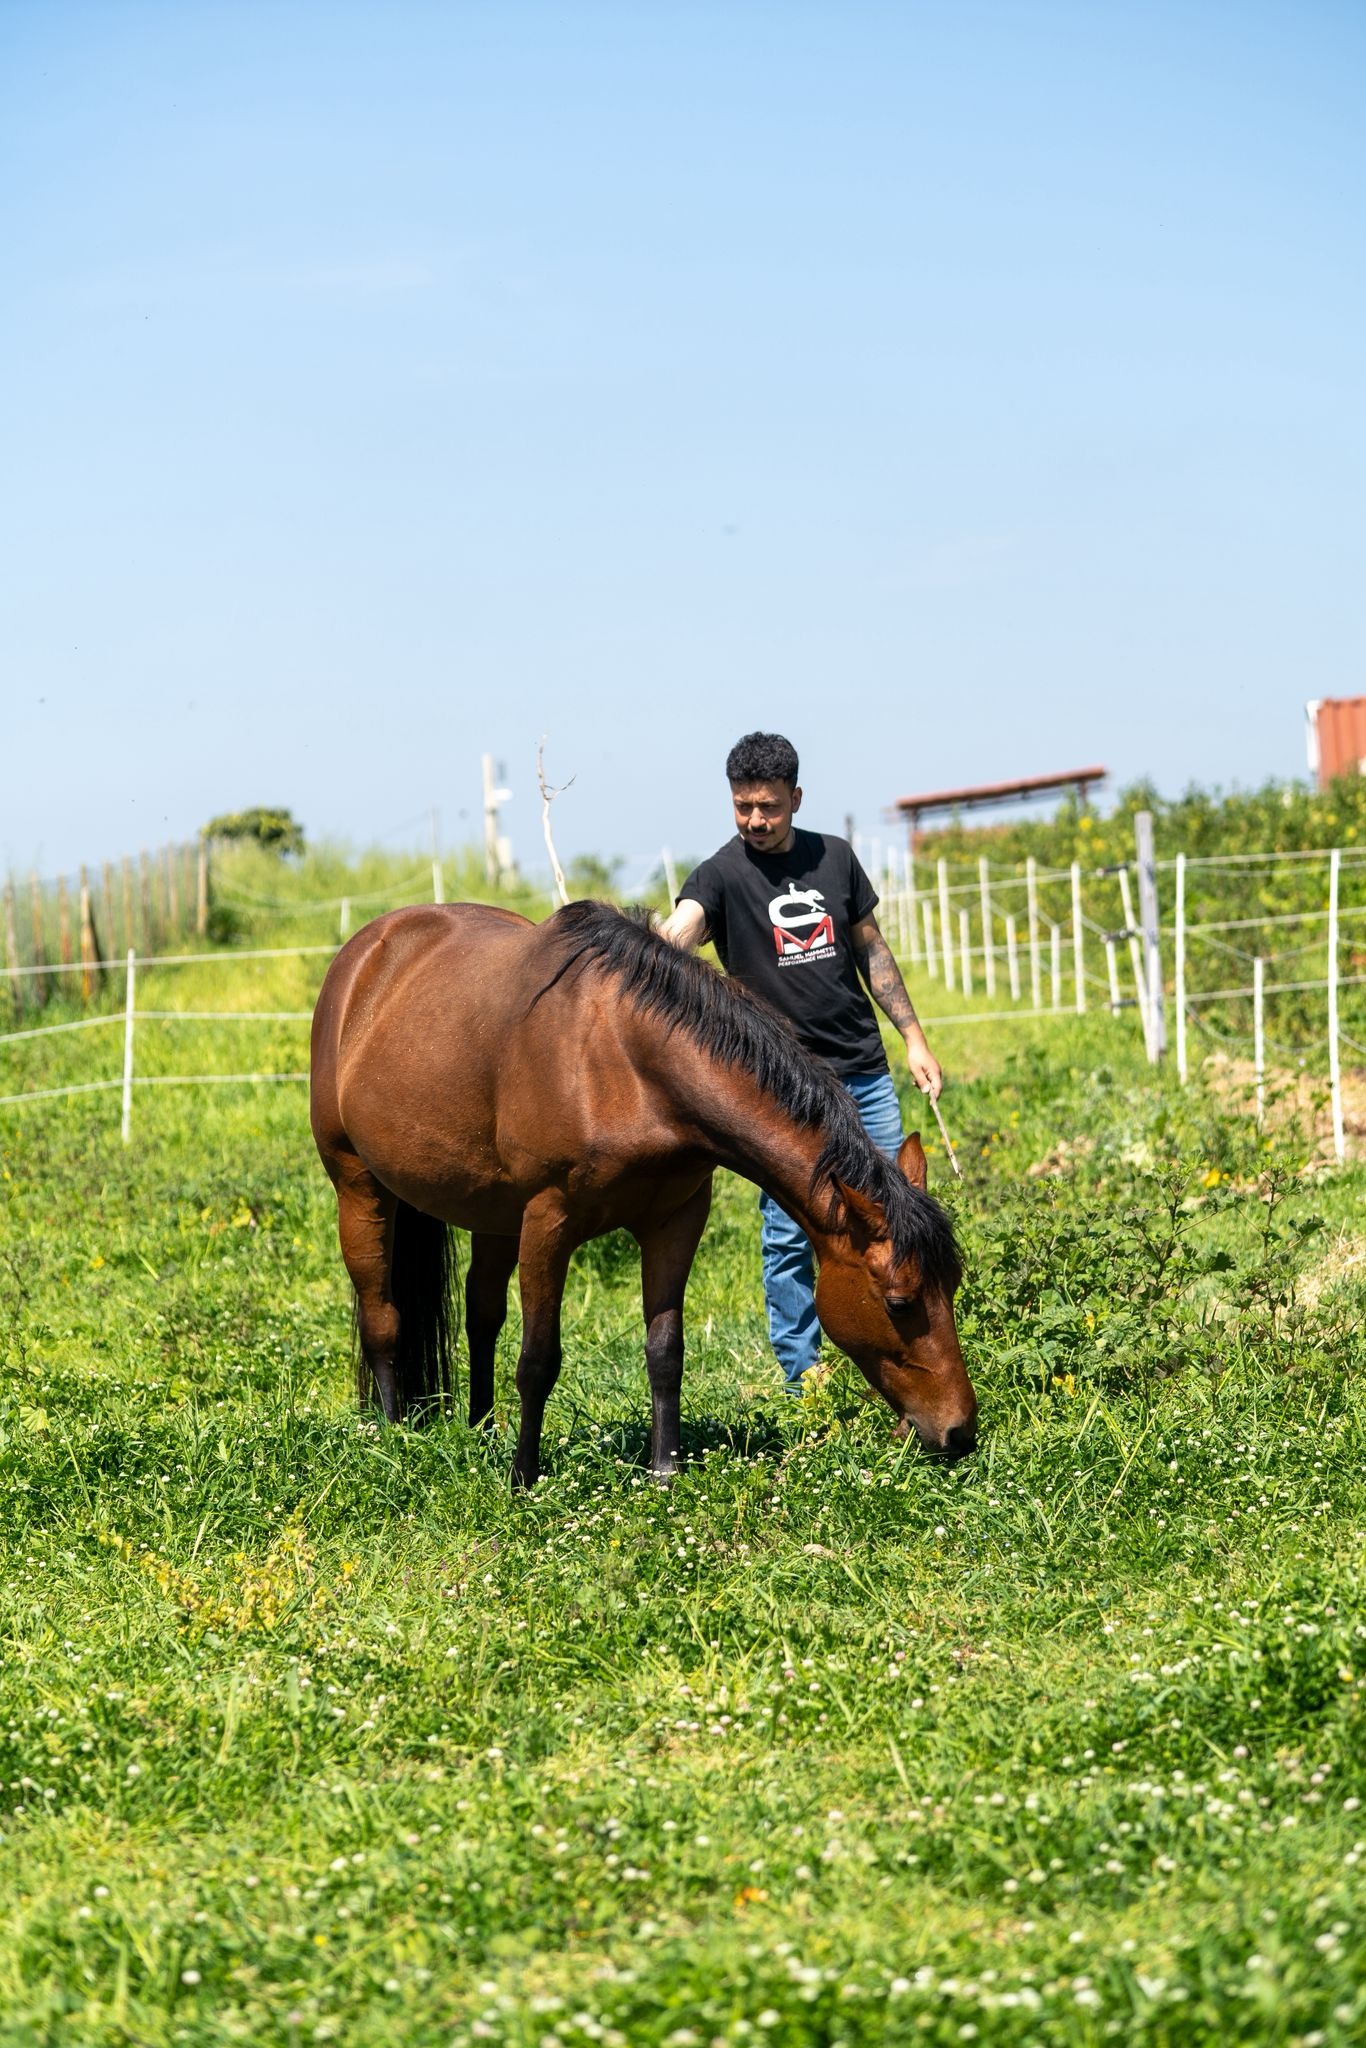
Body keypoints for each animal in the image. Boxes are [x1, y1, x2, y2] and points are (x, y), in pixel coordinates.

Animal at [309, 899, 976, 1487]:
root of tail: (366, 955)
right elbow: (538, 1359)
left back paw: (482, 1429)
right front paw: (523, 1479)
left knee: (481, 1315)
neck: (624, 1060)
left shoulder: (674, 1220)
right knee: (383, 1316)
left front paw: (664, 1470)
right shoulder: (548, 1222)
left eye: (953, 1286)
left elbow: (665, 1349)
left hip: (490, 1214)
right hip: (359, 1187)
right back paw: (394, 1435)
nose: (960, 1433)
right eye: (898, 1302)